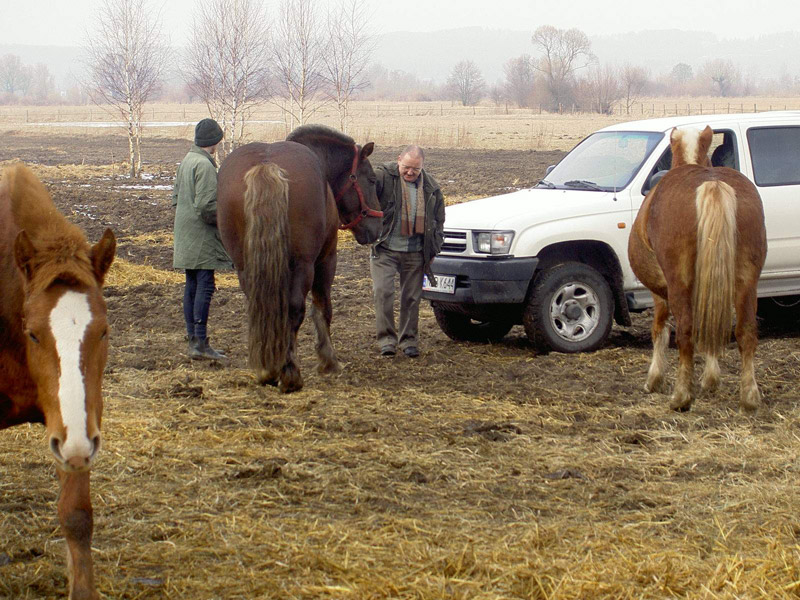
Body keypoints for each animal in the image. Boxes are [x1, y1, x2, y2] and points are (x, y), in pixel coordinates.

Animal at [217, 124, 382, 392]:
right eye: (372, 180)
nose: (377, 227)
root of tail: (266, 166)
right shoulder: (326, 260)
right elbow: (322, 308)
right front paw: (328, 360)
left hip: (245, 268)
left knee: (261, 309)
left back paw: (268, 370)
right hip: (304, 266)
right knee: (295, 311)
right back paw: (289, 373)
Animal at [632, 126, 768, 412]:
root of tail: (712, 183)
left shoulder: (661, 293)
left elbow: (660, 330)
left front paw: (654, 379)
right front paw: (711, 380)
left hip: (679, 283)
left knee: (685, 331)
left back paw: (681, 396)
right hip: (746, 282)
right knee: (746, 332)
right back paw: (749, 397)